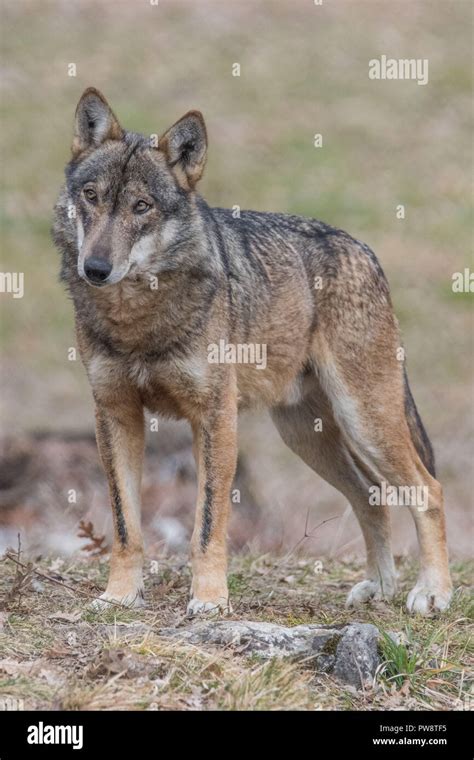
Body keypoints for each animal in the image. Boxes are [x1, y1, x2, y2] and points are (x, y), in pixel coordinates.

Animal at [53, 88, 452, 616]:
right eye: (91, 196)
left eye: (141, 206)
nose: (95, 268)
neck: (137, 316)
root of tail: (365, 250)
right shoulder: (114, 414)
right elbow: (125, 527)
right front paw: (119, 596)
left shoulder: (214, 416)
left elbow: (206, 526)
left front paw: (209, 601)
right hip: (307, 436)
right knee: (372, 497)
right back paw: (379, 587)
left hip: (364, 420)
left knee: (428, 490)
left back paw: (433, 592)